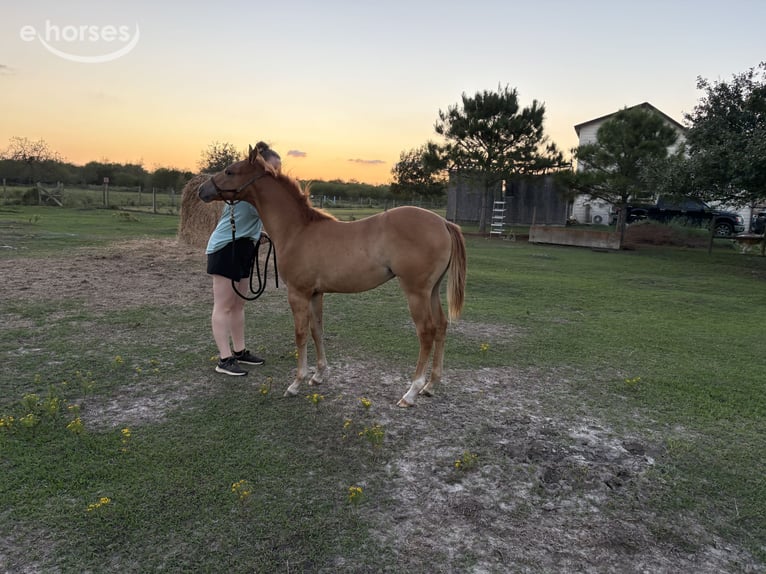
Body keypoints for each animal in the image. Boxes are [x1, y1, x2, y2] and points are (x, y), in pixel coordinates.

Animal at [198, 143, 466, 407]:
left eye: (230, 171)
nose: (202, 190)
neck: (297, 230)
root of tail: (443, 223)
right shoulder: (316, 294)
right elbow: (317, 330)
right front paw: (318, 375)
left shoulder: (298, 294)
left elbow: (300, 334)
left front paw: (296, 383)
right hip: (432, 290)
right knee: (441, 326)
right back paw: (430, 386)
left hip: (416, 292)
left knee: (426, 332)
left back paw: (411, 393)